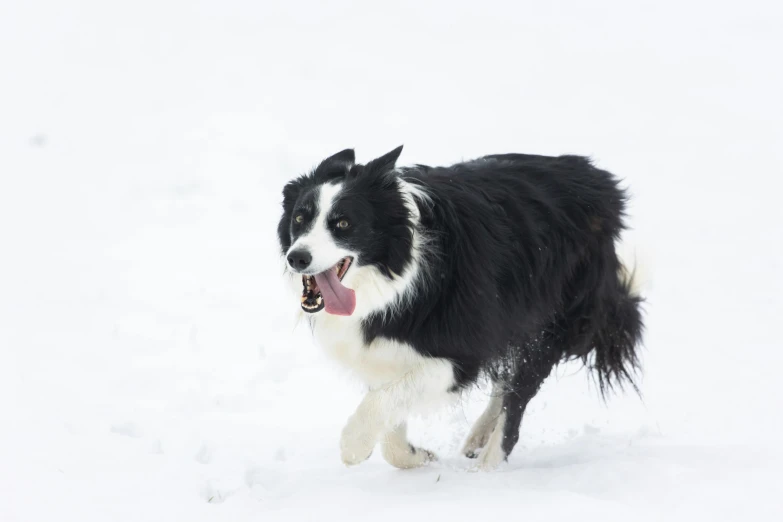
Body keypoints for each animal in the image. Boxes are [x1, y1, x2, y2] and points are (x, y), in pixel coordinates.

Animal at [278, 145, 648, 468]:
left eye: (343, 223)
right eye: (299, 219)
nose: (297, 258)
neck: (403, 267)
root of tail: (598, 179)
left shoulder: (462, 354)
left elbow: (382, 400)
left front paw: (354, 446)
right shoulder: (386, 351)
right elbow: (390, 409)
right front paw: (415, 456)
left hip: (552, 316)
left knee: (520, 391)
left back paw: (487, 466)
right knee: (509, 378)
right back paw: (479, 437)